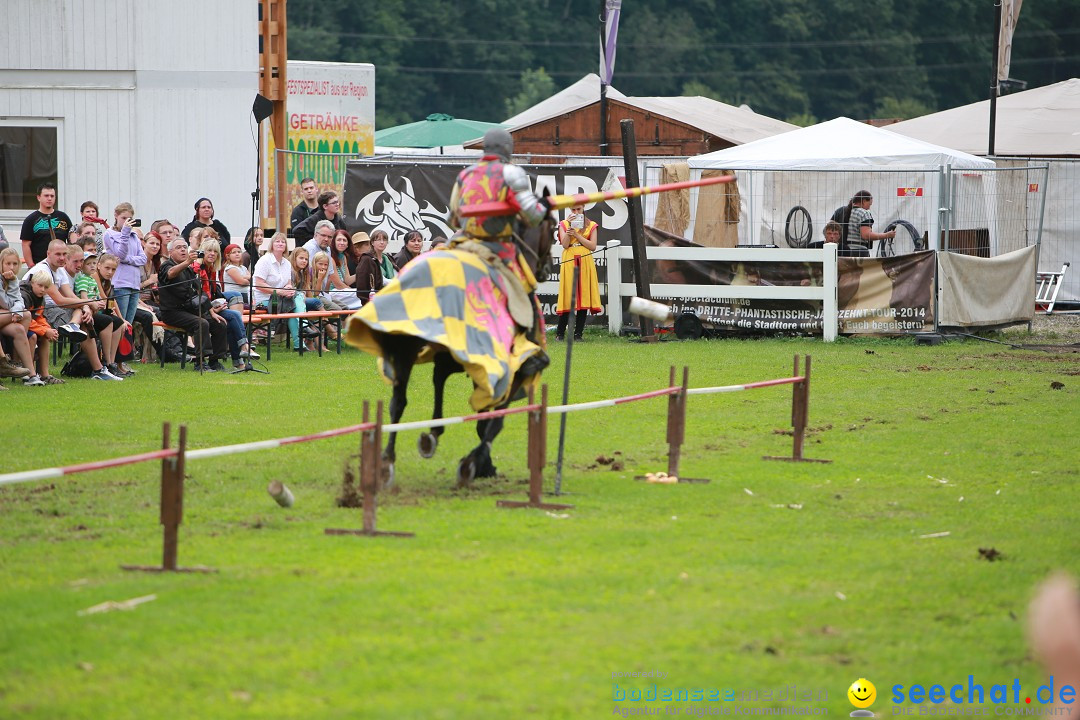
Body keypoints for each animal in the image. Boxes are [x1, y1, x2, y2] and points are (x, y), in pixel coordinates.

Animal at [343, 216, 552, 487]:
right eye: (553, 229)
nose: (546, 267)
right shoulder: (501, 365)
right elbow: (495, 419)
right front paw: (476, 462)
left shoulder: (457, 357)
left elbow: (442, 380)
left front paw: (436, 437)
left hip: (403, 349)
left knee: (397, 402)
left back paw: (386, 462)